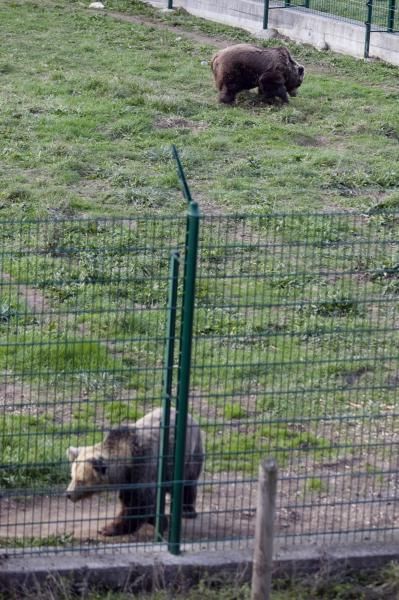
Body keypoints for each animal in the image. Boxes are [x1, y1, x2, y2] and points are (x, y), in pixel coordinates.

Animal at [67, 406, 205, 536]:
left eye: (80, 480)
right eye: (72, 477)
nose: (68, 494)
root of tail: (190, 416)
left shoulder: (143, 468)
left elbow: (138, 503)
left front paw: (107, 529)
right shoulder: (128, 480)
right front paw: (157, 520)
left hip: (190, 454)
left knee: (187, 483)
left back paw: (187, 510)